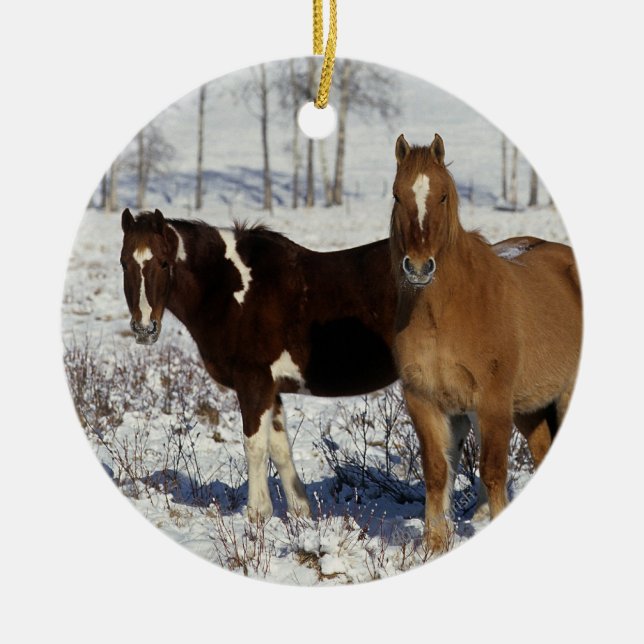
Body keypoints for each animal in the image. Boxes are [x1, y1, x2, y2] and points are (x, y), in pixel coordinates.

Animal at [390, 133, 582, 551]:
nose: (418, 267)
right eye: (397, 195)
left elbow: (492, 471)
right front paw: (434, 543)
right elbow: (437, 471)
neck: (444, 313)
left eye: (443, 196)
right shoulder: (425, 400)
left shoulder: (492, 403)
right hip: (529, 407)